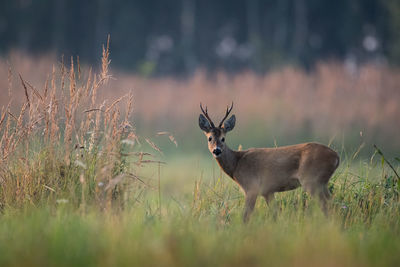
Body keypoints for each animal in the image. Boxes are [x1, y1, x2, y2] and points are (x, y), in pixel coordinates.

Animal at [198, 103, 340, 223]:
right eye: (210, 138)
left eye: (223, 138)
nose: (217, 150)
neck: (237, 164)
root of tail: (336, 157)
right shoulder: (267, 191)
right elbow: (275, 214)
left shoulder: (251, 187)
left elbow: (246, 216)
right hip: (322, 182)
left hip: (312, 180)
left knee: (326, 205)